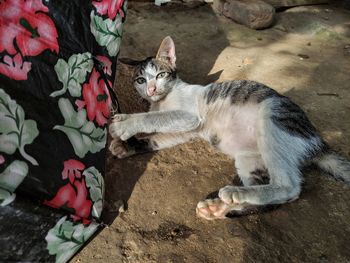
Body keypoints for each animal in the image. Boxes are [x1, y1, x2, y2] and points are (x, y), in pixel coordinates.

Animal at [108, 35, 348, 221]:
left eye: (160, 75)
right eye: (140, 80)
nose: (151, 89)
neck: (163, 99)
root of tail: (318, 141)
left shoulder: (189, 116)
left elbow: (153, 117)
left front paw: (125, 123)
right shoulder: (184, 130)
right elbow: (156, 137)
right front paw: (126, 146)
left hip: (274, 115)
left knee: (289, 187)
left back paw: (233, 193)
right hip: (249, 159)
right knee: (271, 196)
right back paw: (218, 207)